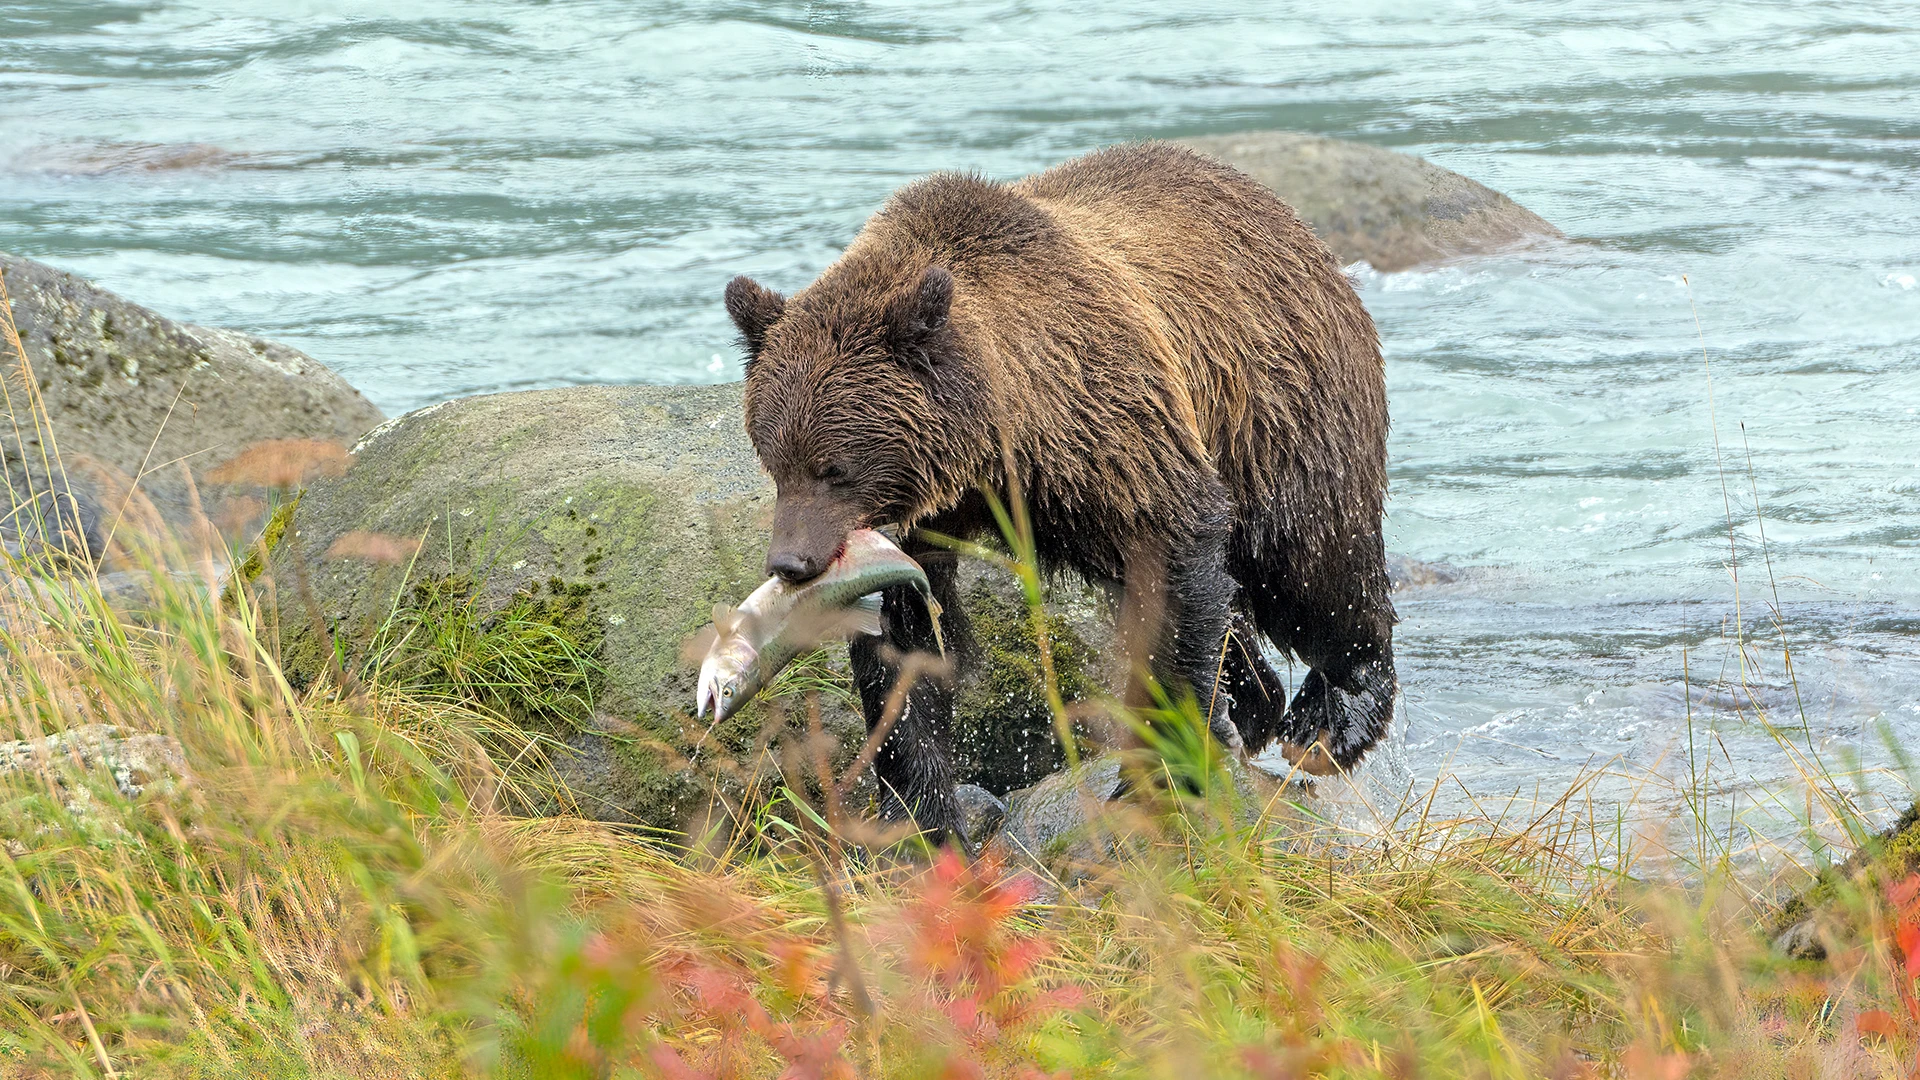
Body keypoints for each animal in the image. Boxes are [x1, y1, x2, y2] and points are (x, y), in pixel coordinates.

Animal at [724, 142, 1396, 841]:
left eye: (834, 468)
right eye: (774, 459)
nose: (790, 561)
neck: (998, 438)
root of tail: (1297, 225)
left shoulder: (1112, 429)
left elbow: (1178, 552)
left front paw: (1159, 769)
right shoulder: (935, 519)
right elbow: (909, 645)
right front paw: (923, 814)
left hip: (1281, 411)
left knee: (1312, 563)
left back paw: (1331, 716)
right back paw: (1255, 696)